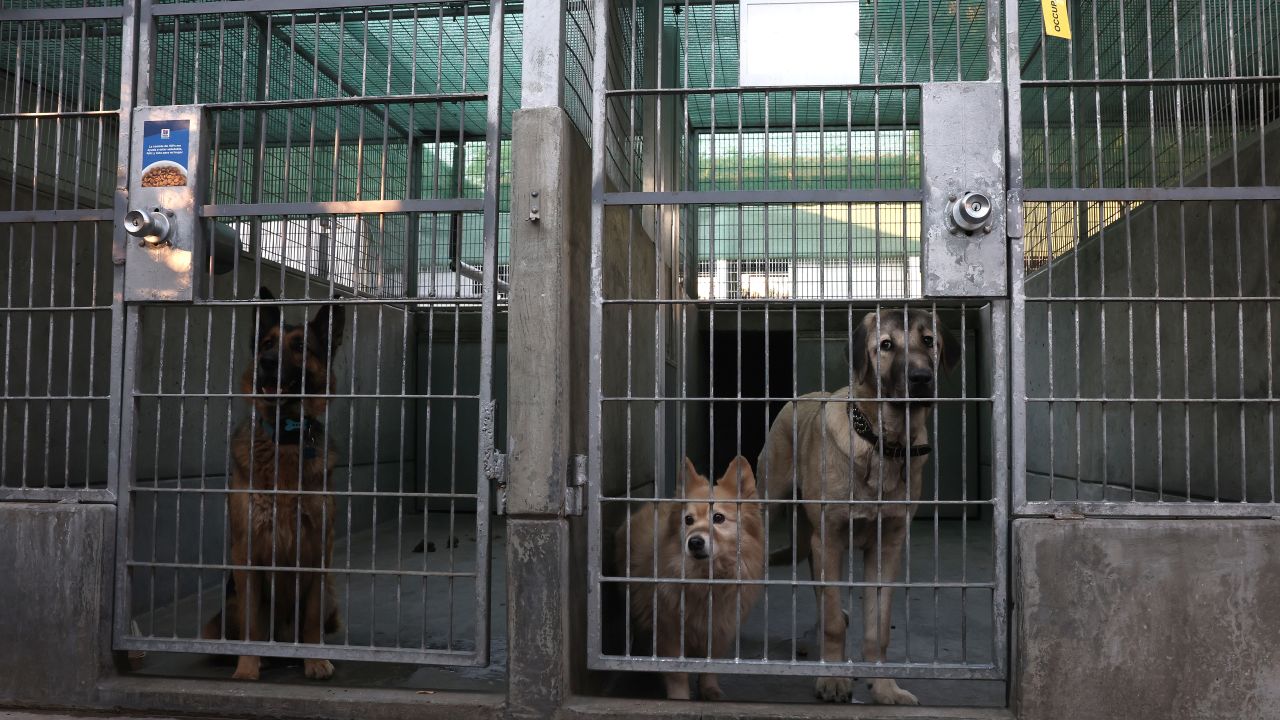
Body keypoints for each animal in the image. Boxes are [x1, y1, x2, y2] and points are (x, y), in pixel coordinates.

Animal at [198, 286, 343, 676]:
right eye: (266, 343)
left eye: (300, 346)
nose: (267, 362)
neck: (285, 437)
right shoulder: (247, 552)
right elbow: (252, 622)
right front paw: (247, 668)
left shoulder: (318, 549)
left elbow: (311, 619)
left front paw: (315, 660)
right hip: (229, 604)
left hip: (331, 590)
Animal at [614, 453, 762, 696]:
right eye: (688, 520)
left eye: (718, 518)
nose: (694, 542)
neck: (706, 579)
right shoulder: (669, 632)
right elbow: (678, 675)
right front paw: (679, 697)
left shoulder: (720, 629)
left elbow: (711, 664)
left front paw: (710, 689)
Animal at [752, 307, 957, 702]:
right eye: (886, 345)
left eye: (928, 341)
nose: (921, 378)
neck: (884, 444)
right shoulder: (830, 538)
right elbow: (833, 622)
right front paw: (833, 679)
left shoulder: (886, 546)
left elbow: (878, 627)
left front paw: (884, 687)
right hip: (770, 505)